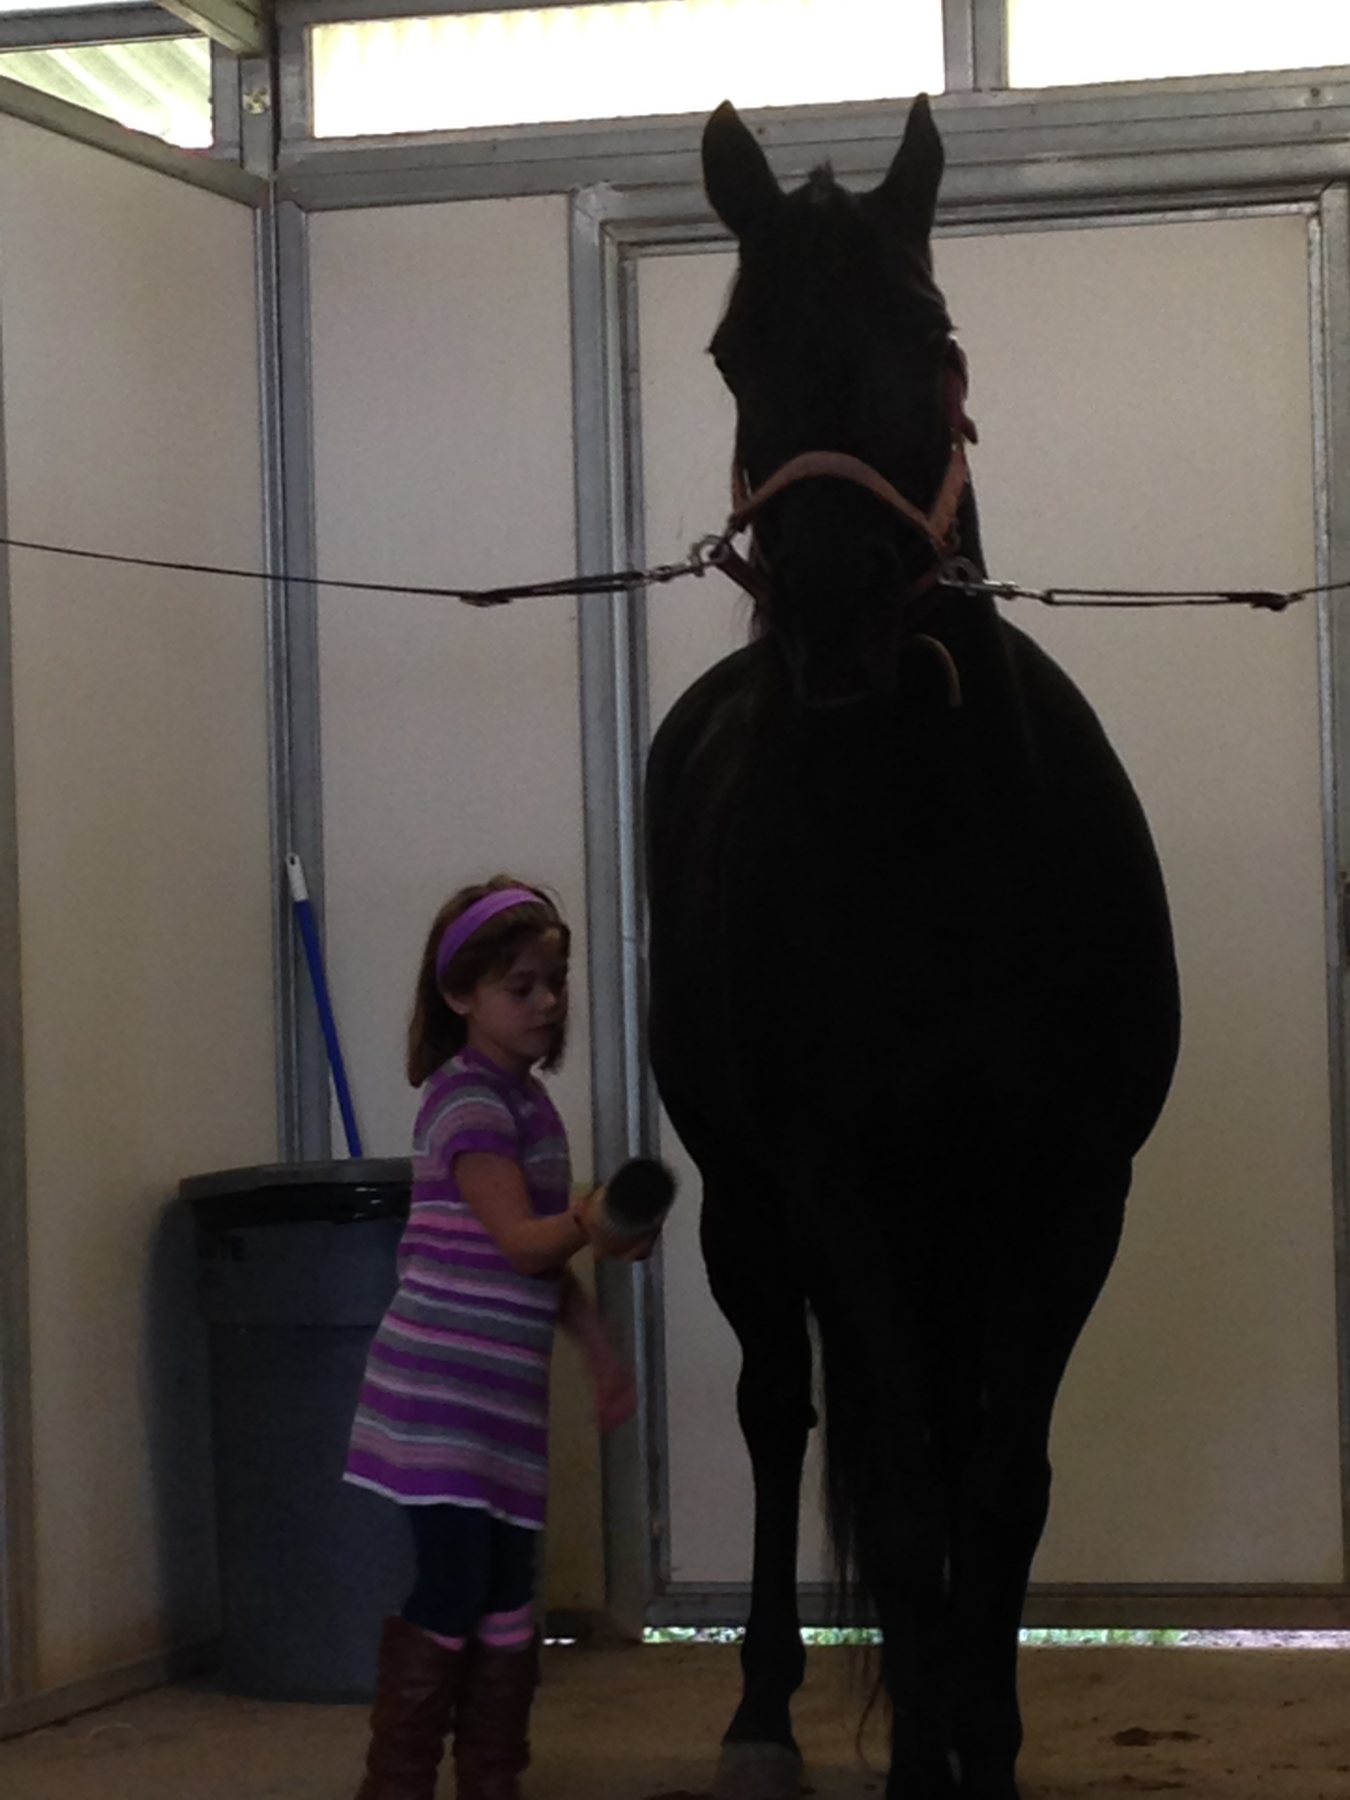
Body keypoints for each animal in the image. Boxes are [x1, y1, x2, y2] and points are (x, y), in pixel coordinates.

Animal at [643, 95, 1181, 1800]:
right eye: (731, 350)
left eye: (932, 335)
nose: (836, 603)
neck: (935, 858)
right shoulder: (842, 1197)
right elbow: (903, 1506)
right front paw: (923, 1758)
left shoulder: (1069, 1195)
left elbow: (998, 1486)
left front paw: (983, 1753)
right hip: (748, 1209)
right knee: (777, 1413)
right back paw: (761, 1709)